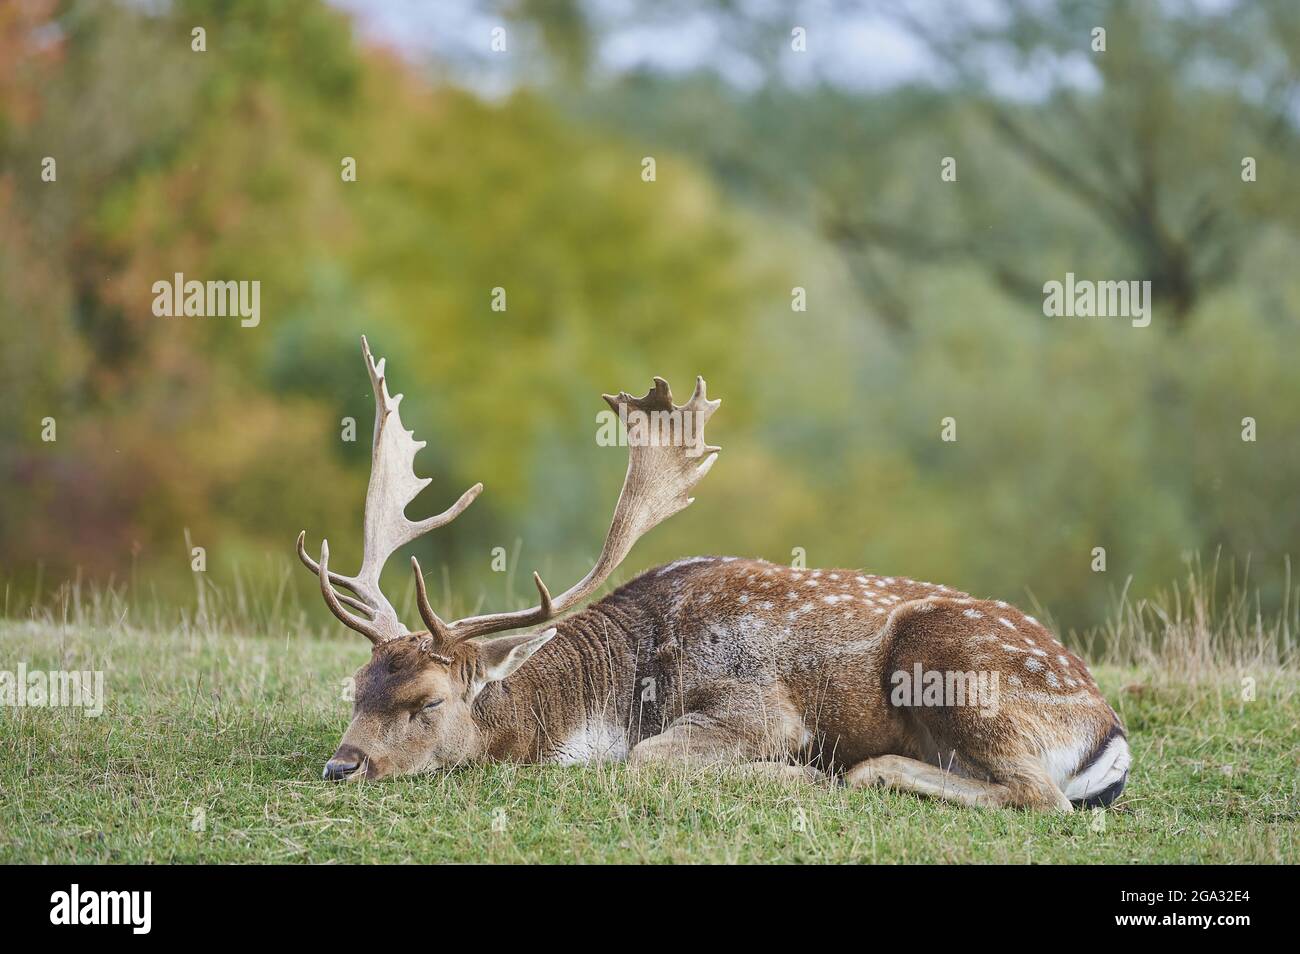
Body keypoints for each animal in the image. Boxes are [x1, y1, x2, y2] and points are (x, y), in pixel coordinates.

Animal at [295, 340, 1128, 811]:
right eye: (358, 685)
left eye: (428, 702)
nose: (341, 766)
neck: (612, 699)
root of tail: (1108, 730)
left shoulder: (758, 703)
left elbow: (648, 760)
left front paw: (805, 776)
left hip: (953, 666)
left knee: (1042, 796)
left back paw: (866, 770)